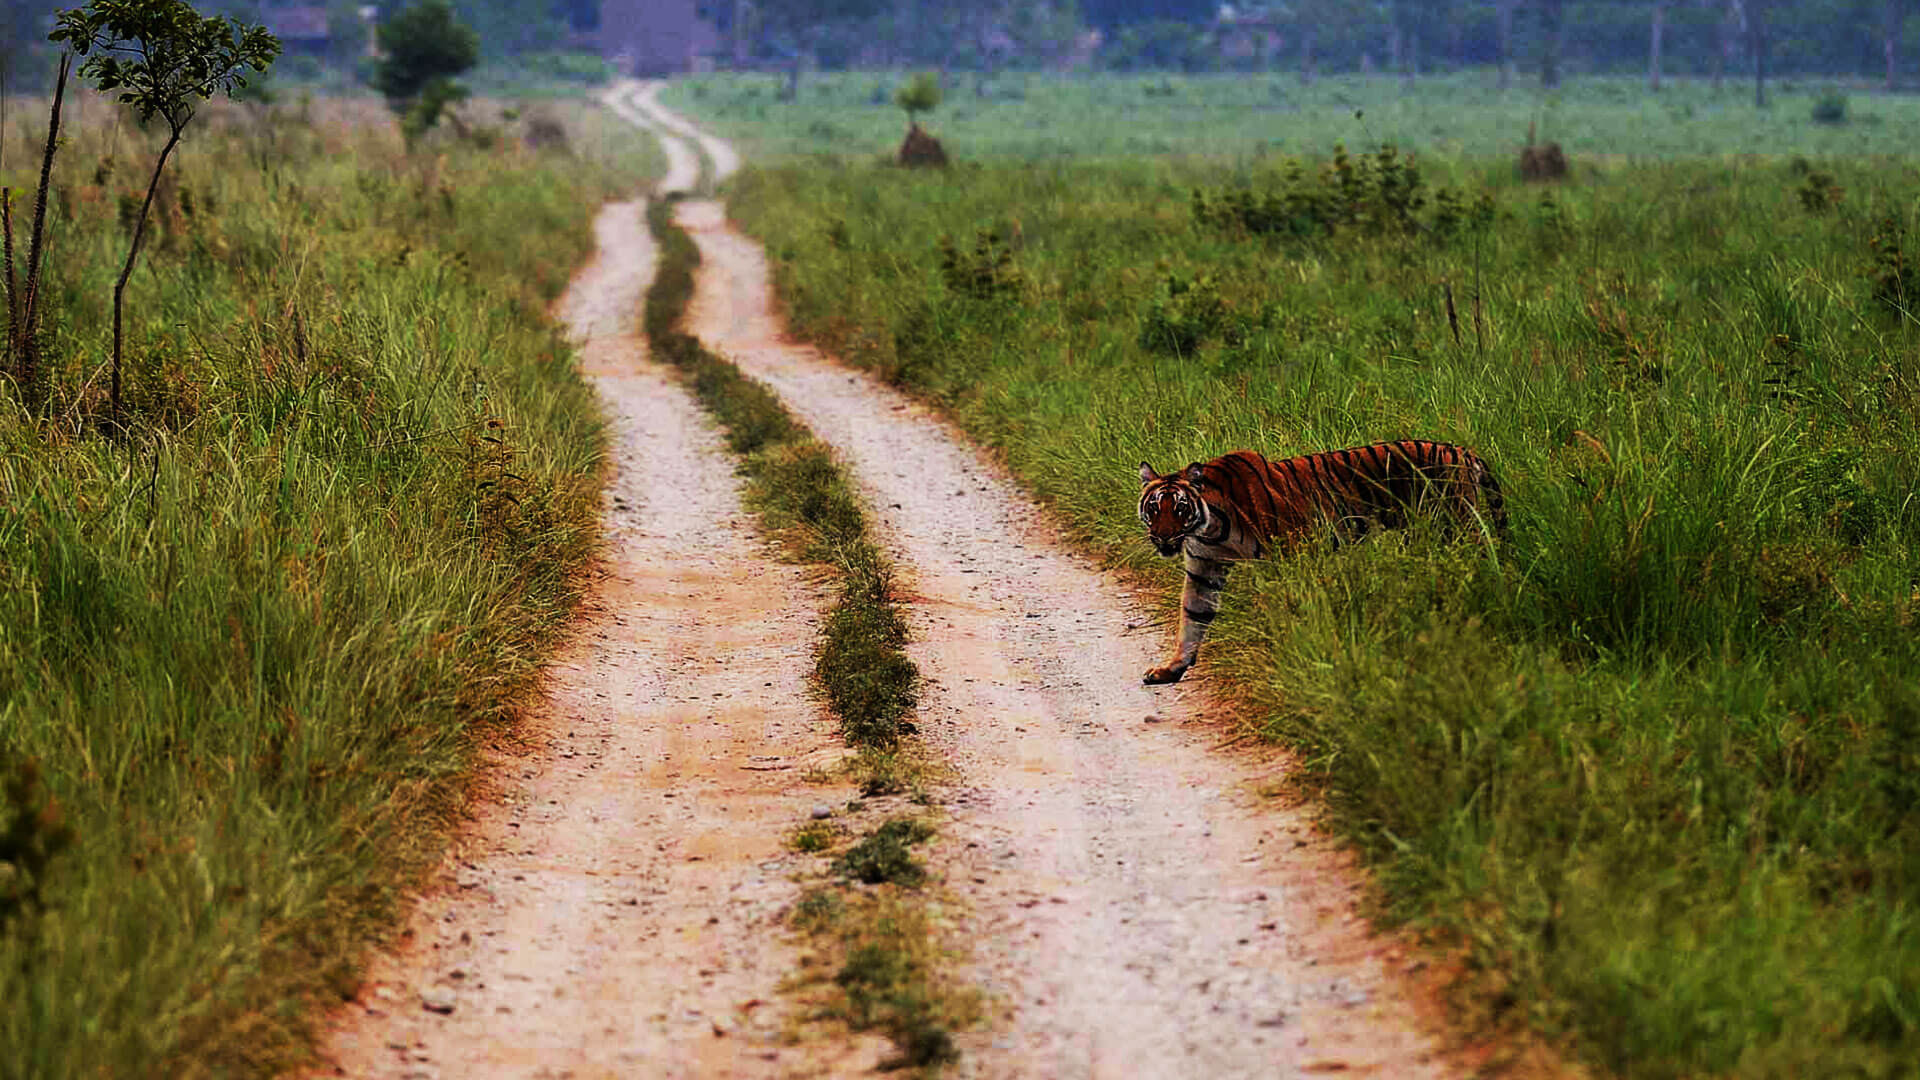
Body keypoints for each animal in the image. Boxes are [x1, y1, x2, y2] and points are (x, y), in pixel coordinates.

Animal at [1128, 438, 1505, 680]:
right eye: (1154, 509)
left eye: (1180, 508)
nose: (1163, 537)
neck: (1209, 528)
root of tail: (1462, 450)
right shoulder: (1204, 569)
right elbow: (1192, 617)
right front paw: (1172, 668)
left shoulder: (1291, 552)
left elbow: (1290, 604)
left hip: (1458, 523)